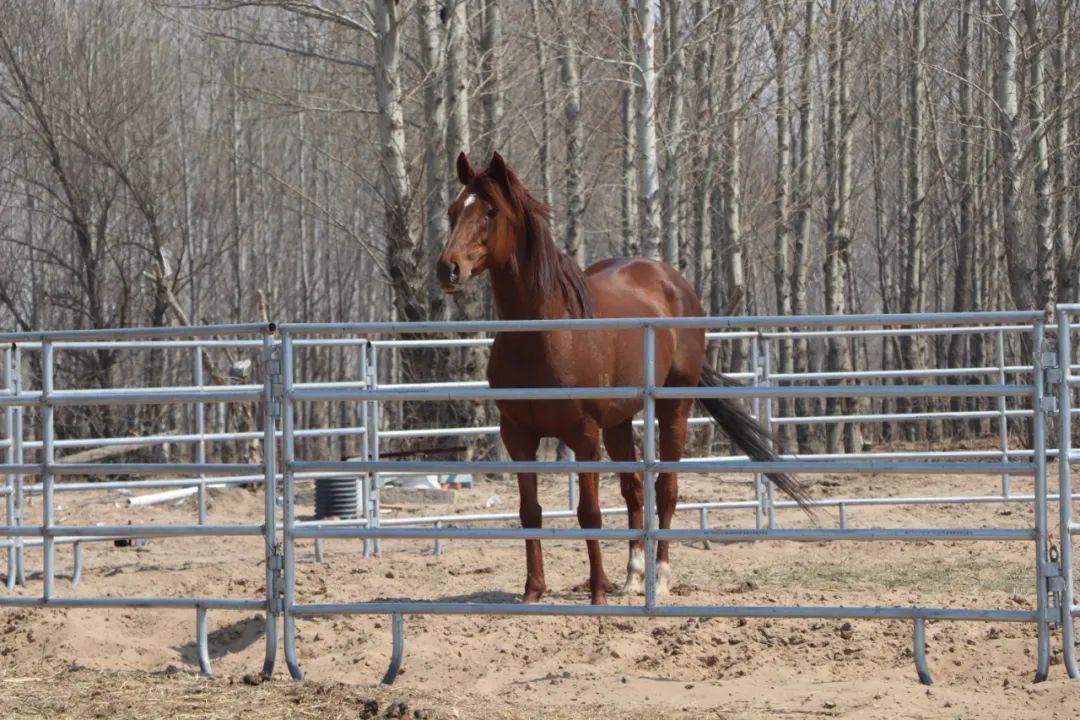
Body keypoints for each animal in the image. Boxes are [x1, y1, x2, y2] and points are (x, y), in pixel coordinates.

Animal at [438, 153, 812, 608]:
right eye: (453, 210)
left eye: (490, 212)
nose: (447, 268)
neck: (544, 333)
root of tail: (673, 283)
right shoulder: (518, 435)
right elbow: (530, 512)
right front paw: (533, 592)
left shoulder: (583, 434)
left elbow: (589, 513)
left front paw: (598, 591)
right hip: (617, 423)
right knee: (634, 489)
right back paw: (634, 577)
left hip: (672, 409)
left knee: (665, 489)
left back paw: (661, 578)